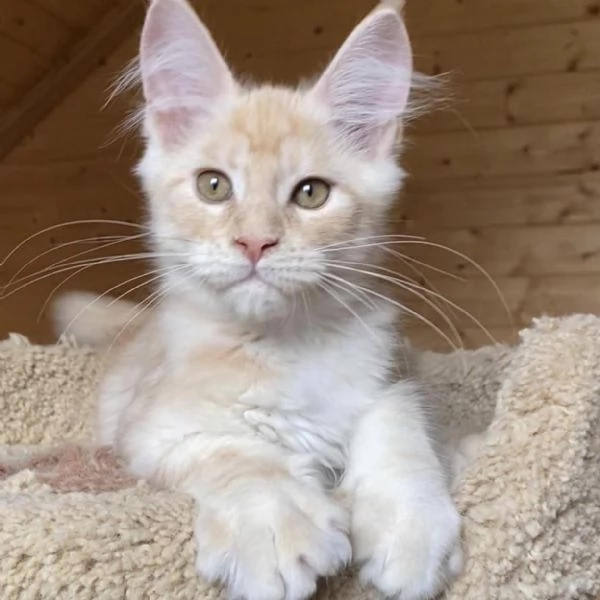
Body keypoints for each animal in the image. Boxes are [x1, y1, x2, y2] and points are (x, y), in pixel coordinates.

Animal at [55, 1, 460, 600]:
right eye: (214, 186)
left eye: (311, 193)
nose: (254, 242)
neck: (283, 346)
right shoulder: (149, 430)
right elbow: (238, 456)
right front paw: (276, 526)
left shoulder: (395, 375)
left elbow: (400, 427)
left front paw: (411, 524)